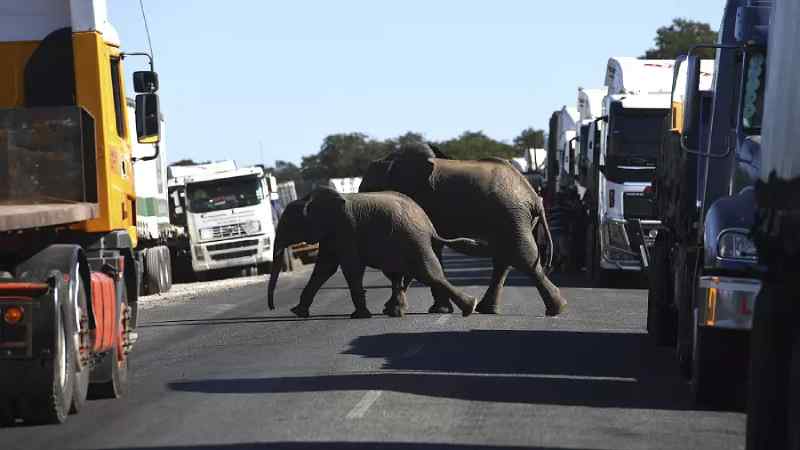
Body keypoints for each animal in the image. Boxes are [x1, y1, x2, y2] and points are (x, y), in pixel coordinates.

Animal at [268, 188, 482, 318]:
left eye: (287, 225)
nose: (272, 307)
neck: (310, 200)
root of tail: (429, 226)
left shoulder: (346, 228)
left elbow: (350, 268)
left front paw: (360, 316)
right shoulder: (331, 234)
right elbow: (324, 268)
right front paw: (298, 312)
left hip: (413, 240)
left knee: (428, 274)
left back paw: (470, 307)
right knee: (400, 275)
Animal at [360, 144, 564, 316]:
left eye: (370, 189)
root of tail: (534, 196)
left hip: (511, 214)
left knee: (521, 257)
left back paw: (557, 309)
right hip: (514, 218)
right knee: (506, 258)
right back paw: (488, 309)